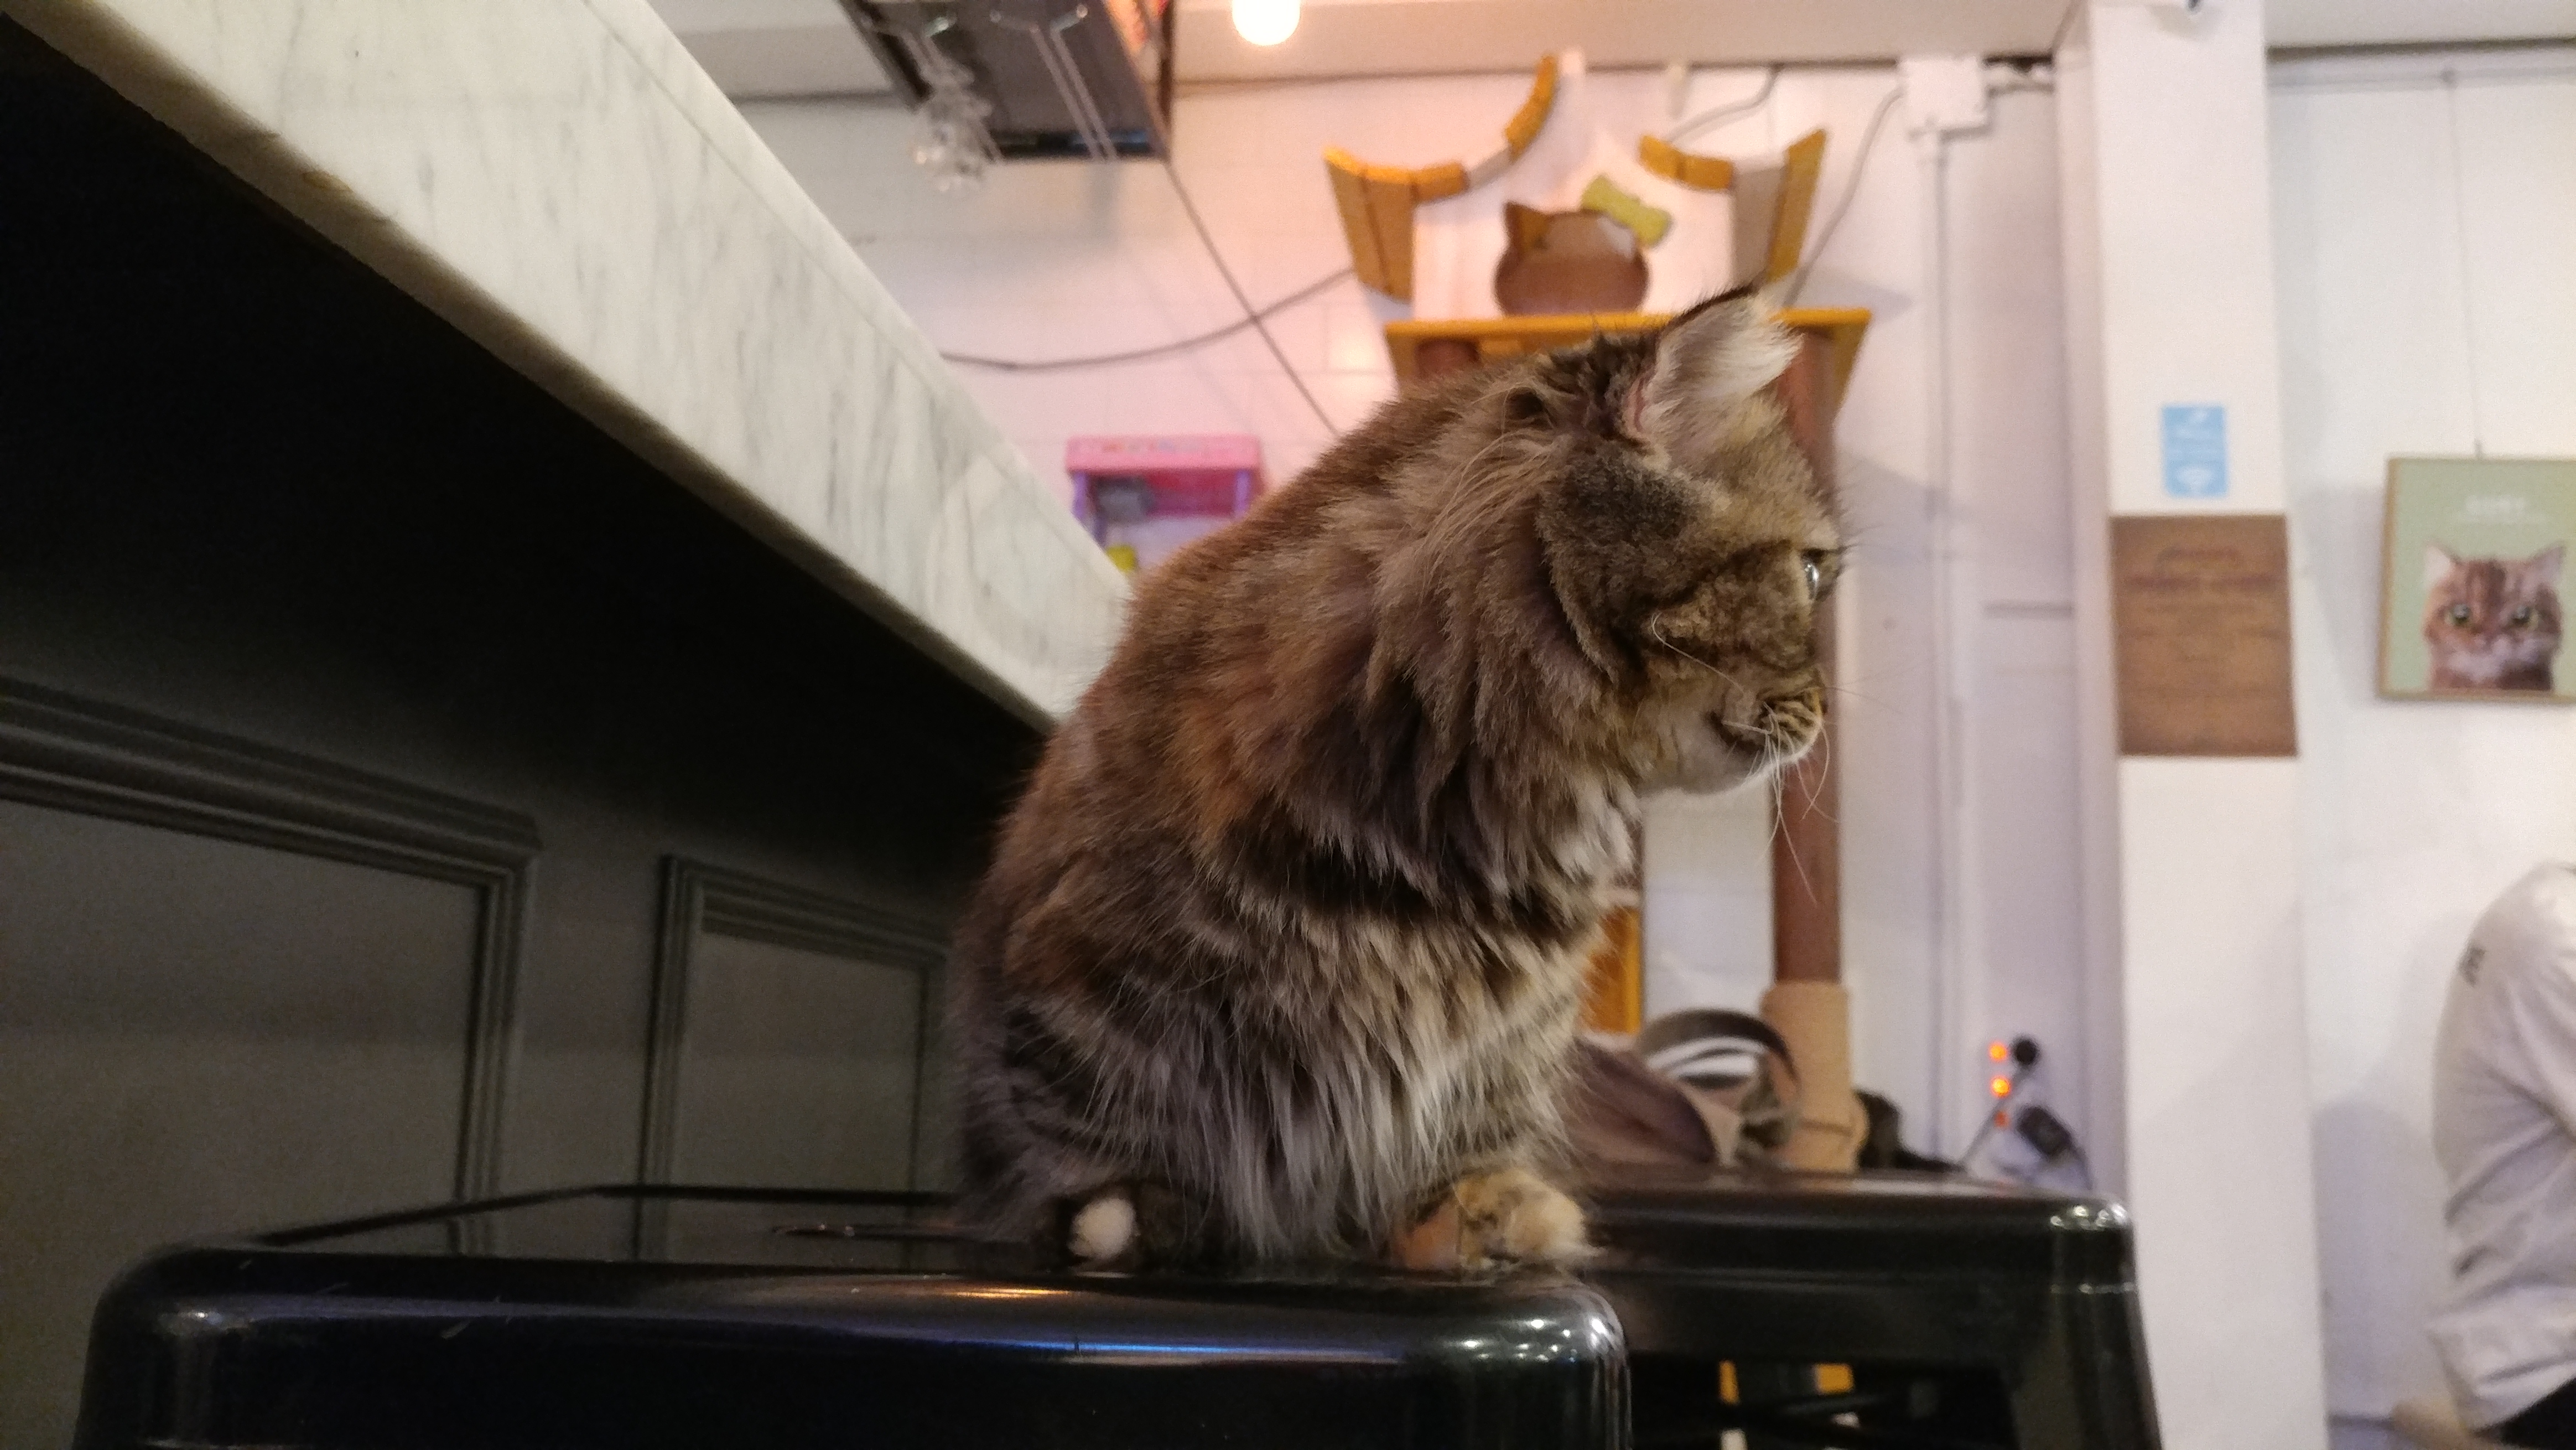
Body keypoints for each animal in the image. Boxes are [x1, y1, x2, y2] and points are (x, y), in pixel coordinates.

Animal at [948, 289, 1838, 1270]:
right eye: (1811, 572)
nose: (1827, 708)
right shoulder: (1086, 986)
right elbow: (1089, 1125)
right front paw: (1126, 1212)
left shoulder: (1504, 1037)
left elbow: (1469, 1132)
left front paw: (1480, 1212)